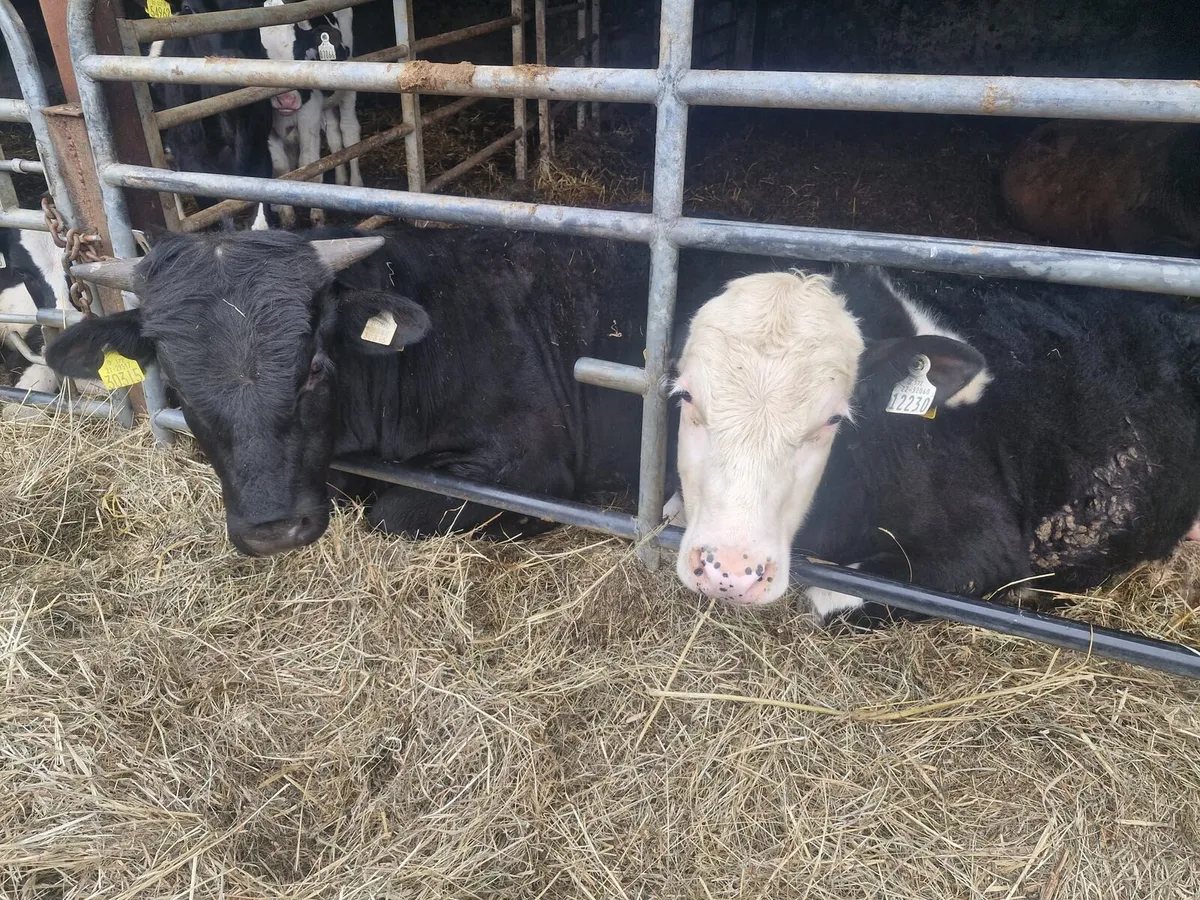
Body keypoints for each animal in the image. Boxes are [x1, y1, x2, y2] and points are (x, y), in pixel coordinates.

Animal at [259, 6, 361, 228]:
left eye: (298, 49)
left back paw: (356, 184)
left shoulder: (309, 112)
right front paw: (286, 215)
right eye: (260, 51)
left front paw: (317, 214)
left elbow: (309, 161)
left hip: (348, 83)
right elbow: (281, 167)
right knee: (334, 136)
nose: (286, 100)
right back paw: (341, 182)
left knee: (349, 131)